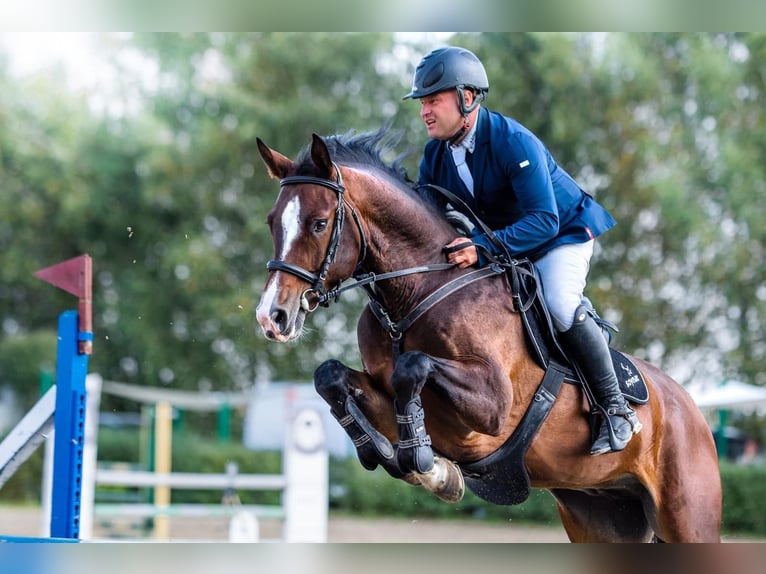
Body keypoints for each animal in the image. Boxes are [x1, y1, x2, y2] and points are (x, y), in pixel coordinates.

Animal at [254, 127, 722, 542]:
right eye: (272, 221)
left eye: (318, 224)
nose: (272, 316)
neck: (417, 292)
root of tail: (692, 409)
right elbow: (331, 376)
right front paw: (390, 455)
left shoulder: (491, 409)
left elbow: (413, 366)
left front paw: (428, 464)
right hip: (600, 512)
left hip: (686, 517)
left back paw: (618, 423)